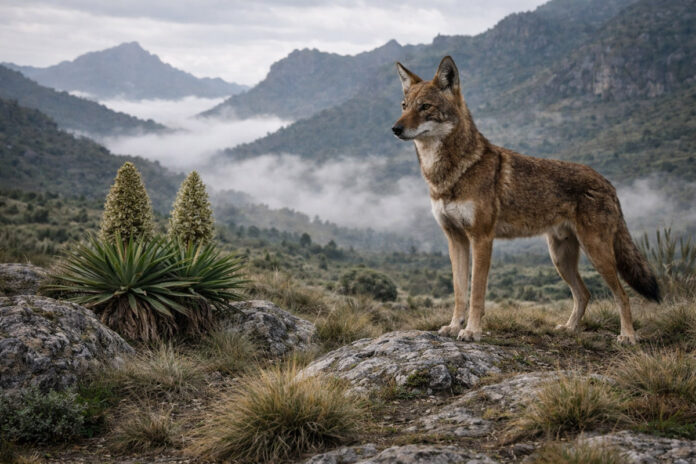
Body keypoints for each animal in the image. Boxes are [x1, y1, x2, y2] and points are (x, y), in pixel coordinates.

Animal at [392, 56, 660, 344]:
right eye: (404, 106)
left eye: (425, 107)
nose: (395, 129)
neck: (450, 173)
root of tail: (608, 183)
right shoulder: (456, 240)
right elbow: (459, 292)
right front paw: (453, 327)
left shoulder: (481, 239)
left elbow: (476, 294)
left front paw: (472, 331)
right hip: (560, 258)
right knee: (584, 293)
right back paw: (569, 328)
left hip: (597, 254)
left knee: (622, 295)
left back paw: (628, 336)